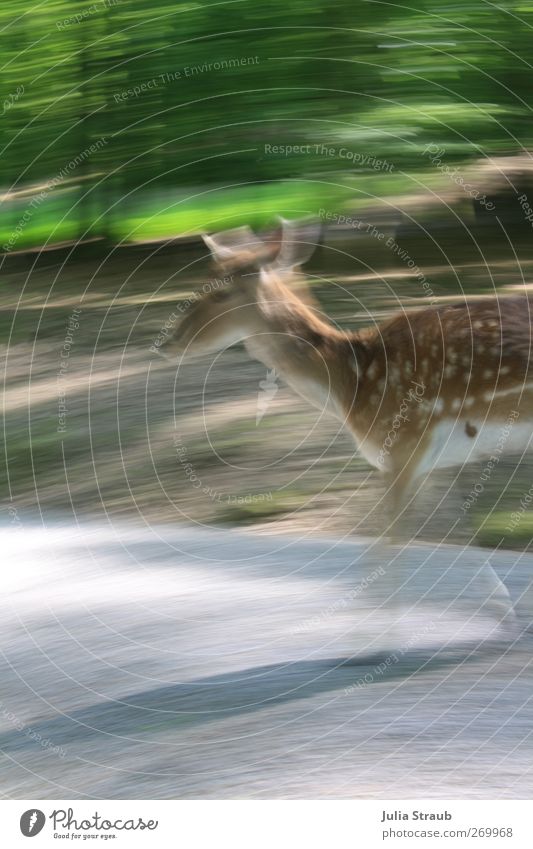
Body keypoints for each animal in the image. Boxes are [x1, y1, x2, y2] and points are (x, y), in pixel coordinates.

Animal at [161, 220, 532, 648]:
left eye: (220, 292)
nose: (166, 343)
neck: (351, 386)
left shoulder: (402, 446)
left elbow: (387, 543)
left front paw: (371, 643)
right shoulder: (433, 459)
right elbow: (457, 532)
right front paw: (505, 615)